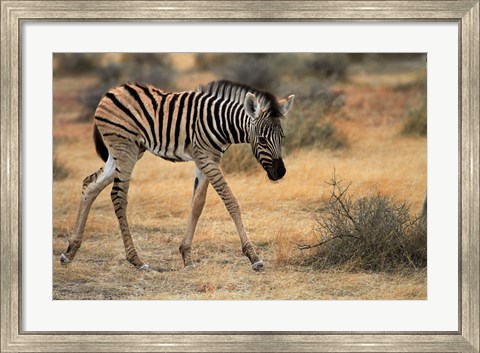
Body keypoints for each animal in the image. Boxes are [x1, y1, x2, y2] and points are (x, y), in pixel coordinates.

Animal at [59, 80, 292, 270]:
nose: (280, 172)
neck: (220, 122)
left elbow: (197, 203)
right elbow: (231, 201)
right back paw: (137, 260)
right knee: (118, 196)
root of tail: (111, 91)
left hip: (124, 152)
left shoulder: (206, 159)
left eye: (282, 137)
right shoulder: (207, 159)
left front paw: (186, 257)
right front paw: (253, 257)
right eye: (262, 139)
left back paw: (70, 252)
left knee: (90, 185)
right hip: (125, 149)